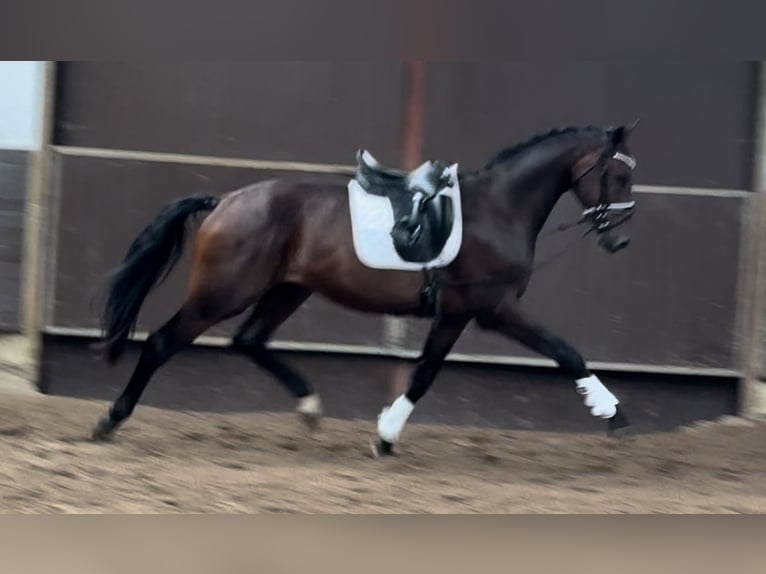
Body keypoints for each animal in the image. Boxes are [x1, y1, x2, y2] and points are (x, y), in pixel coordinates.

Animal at [93, 124, 640, 456]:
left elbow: (422, 376)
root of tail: (226, 200)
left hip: (286, 290)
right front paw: (614, 414)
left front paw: (384, 438)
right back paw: (109, 421)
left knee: (249, 340)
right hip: (224, 292)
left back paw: (310, 407)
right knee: (163, 343)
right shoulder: (493, 308)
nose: (620, 239)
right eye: (616, 173)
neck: (499, 209)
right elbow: (565, 352)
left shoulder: (455, 315)